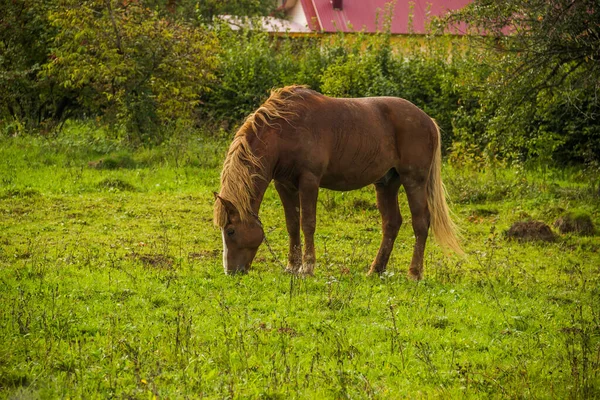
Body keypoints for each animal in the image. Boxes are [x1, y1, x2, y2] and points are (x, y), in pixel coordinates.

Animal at [213, 85, 462, 278]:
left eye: (231, 231)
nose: (230, 271)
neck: (286, 130)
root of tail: (427, 120)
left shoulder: (309, 181)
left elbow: (307, 223)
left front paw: (307, 268)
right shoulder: (284, 184)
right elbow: (292, 224)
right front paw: (292, 266)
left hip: (414, 181)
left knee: (421, 223)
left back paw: (414, 273)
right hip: (386, 183)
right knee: (391, 223)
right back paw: (375, 270)